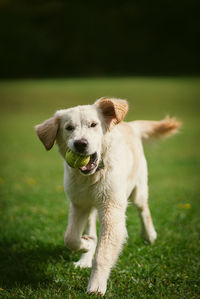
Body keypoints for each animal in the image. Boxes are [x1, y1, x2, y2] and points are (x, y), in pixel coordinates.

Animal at [35, 98, 182, 296]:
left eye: (93, 124)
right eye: (69, 128)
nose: (80, 143)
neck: (93, 175)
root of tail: (130, 125)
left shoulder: (111, 208)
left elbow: (103, 253)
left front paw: (96, 286)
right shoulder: (79, 204)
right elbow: (70, 237)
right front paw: (87, 245)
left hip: (138, 189)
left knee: (144, 210)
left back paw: (149, 235)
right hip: (91, 207)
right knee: (90, 229)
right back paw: (85, 257)